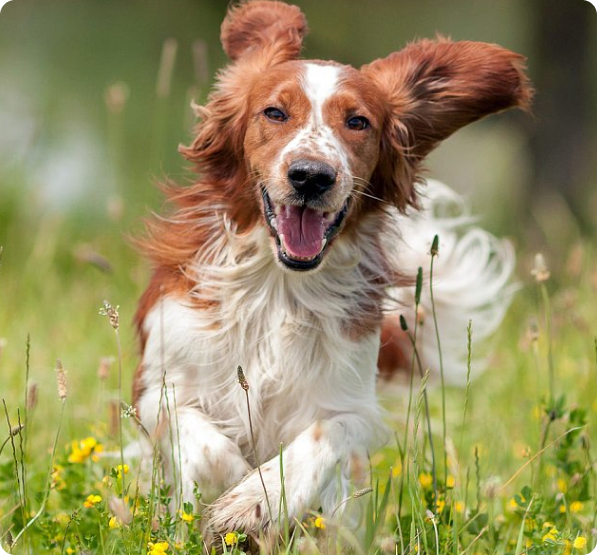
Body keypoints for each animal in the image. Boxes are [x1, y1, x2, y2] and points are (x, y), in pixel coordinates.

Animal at [132, 0, 532, 544]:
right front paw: (231, 487)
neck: (279, 284)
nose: (311, 176)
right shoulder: (158, 383)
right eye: (274, 112)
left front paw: (256, 500)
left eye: (358, 121)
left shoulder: (354, 403)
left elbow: (325, 435)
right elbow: (204, 440)